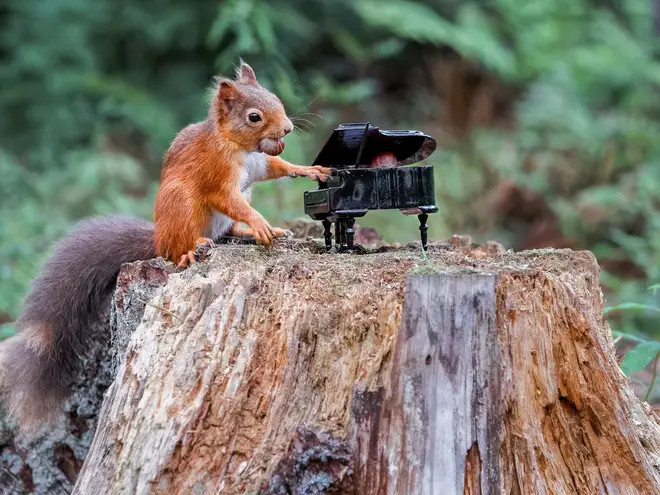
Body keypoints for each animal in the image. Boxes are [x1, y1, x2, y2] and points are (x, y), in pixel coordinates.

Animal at [0, 61, 330, 434]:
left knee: (227, 232)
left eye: (276, 99)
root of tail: (158, 238)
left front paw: (307, 169)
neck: (242, 148)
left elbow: (277, 168)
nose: (287, 129)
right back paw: (194, 249)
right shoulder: (216, 174)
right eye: (254, 117)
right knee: (180, 248)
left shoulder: (260, 165)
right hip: (180, 206)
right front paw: (258, 221)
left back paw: (252, 232)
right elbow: (227, 199)